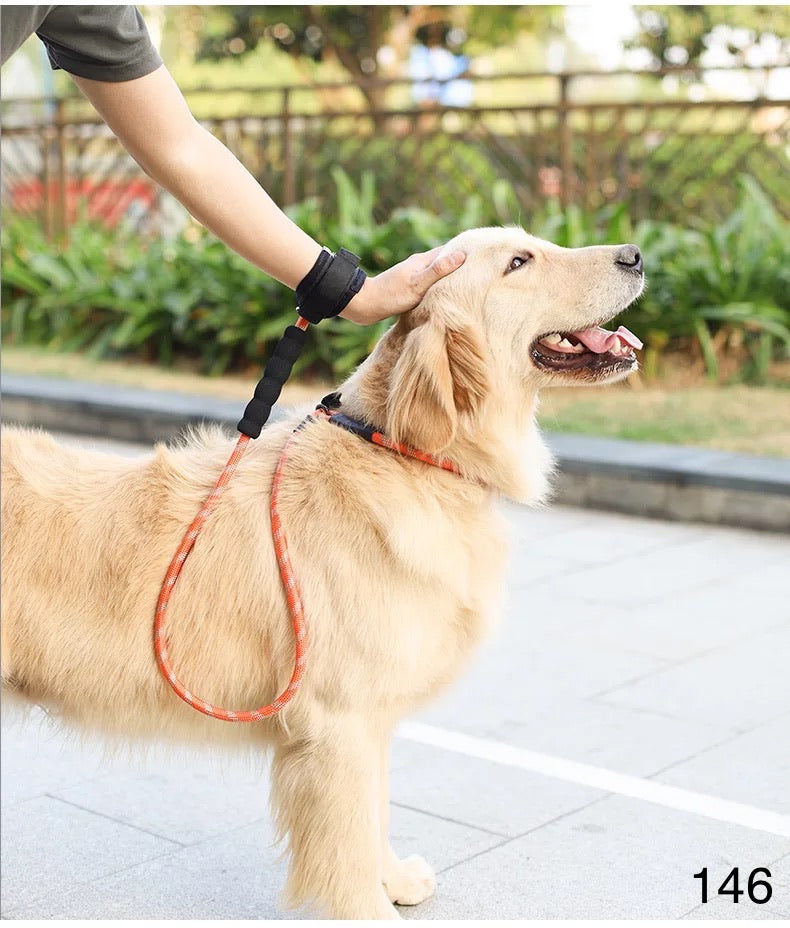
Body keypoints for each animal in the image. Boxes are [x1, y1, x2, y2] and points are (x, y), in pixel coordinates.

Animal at [1, 228, 644, 916]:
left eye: (534, 242)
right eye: (519, 263)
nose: (635, 255)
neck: (408, 455)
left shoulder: (370, 716)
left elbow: (375, 814)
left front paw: (394, 880)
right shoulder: (339, 721)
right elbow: (348, 838)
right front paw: (370, 909)